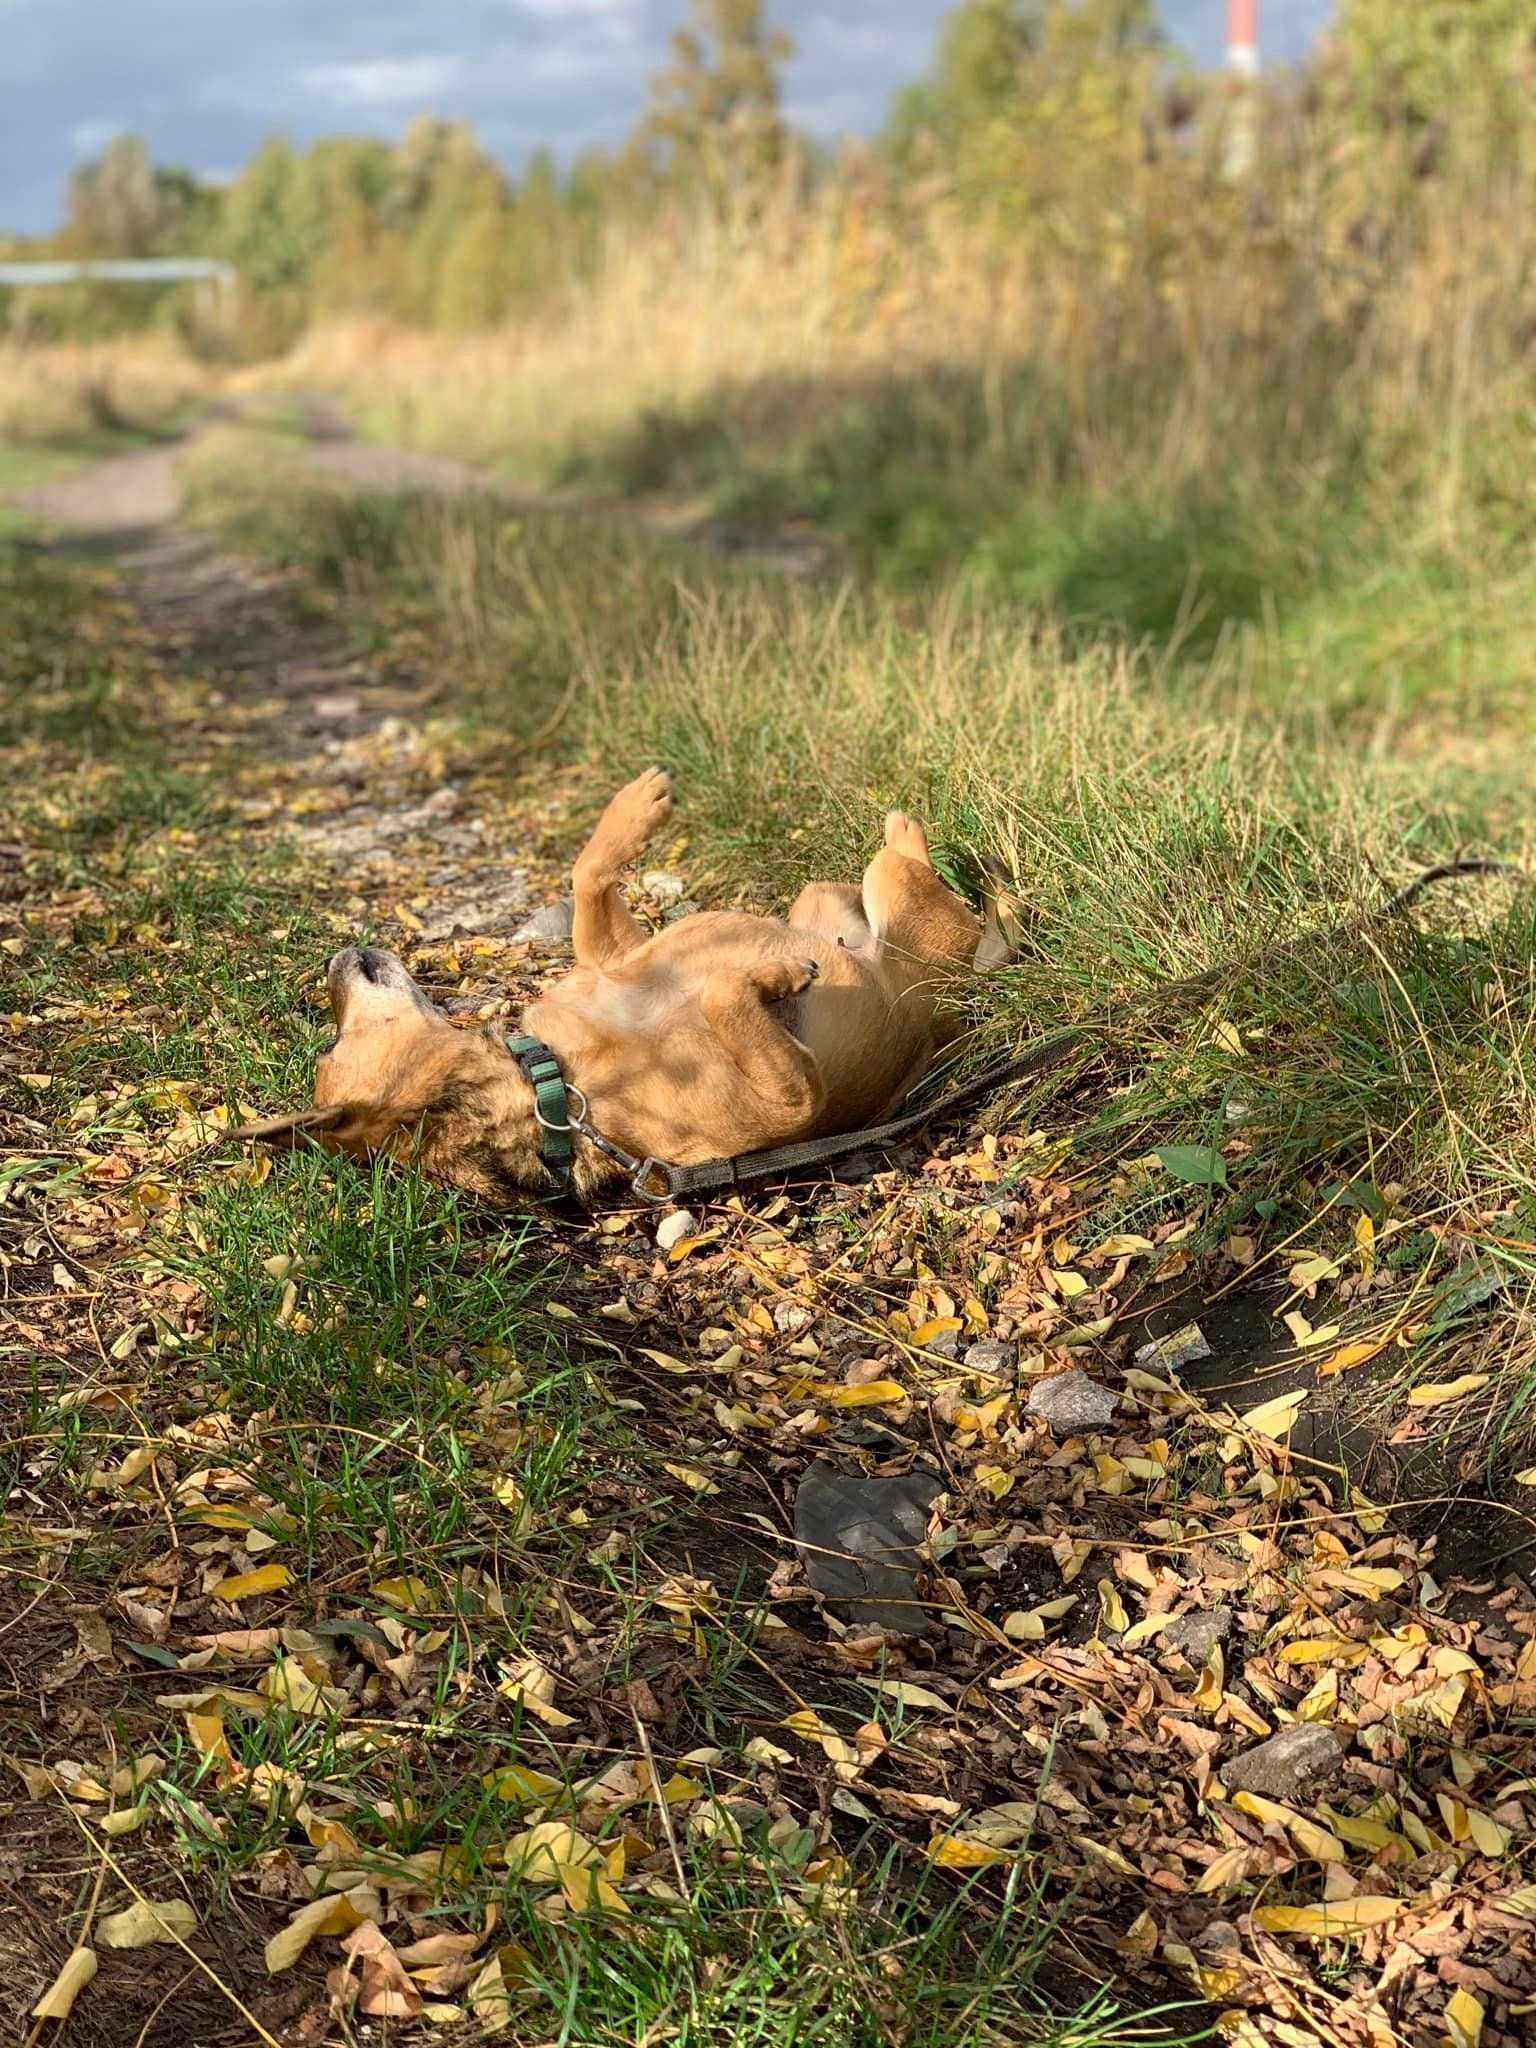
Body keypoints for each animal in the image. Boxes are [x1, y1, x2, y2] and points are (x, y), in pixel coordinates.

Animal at [264, 774, 1011, 1204]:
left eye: (330, 1038)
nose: (332, 963)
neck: (559, 1084)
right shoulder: (791, 1103)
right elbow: (726, 1002)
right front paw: (769, 978)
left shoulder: (614, 954)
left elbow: (589, 871)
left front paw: (632, 807)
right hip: (905, 899)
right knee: (922, 869)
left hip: (823, 899)